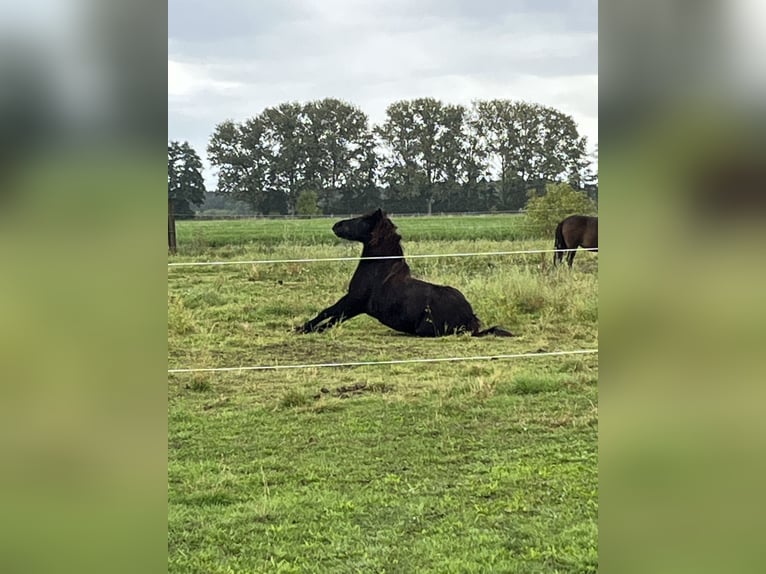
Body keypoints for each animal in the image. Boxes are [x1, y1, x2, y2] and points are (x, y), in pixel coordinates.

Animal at [295, 209, 513, 337]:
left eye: (364, 220)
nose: (336, 225)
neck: (378, 270)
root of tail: (470, 317)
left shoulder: (355, 302)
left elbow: (331, 315)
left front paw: (305, 329)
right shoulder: (352, 302)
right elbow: (330, 315)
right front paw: (304, 328)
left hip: (425, 329)